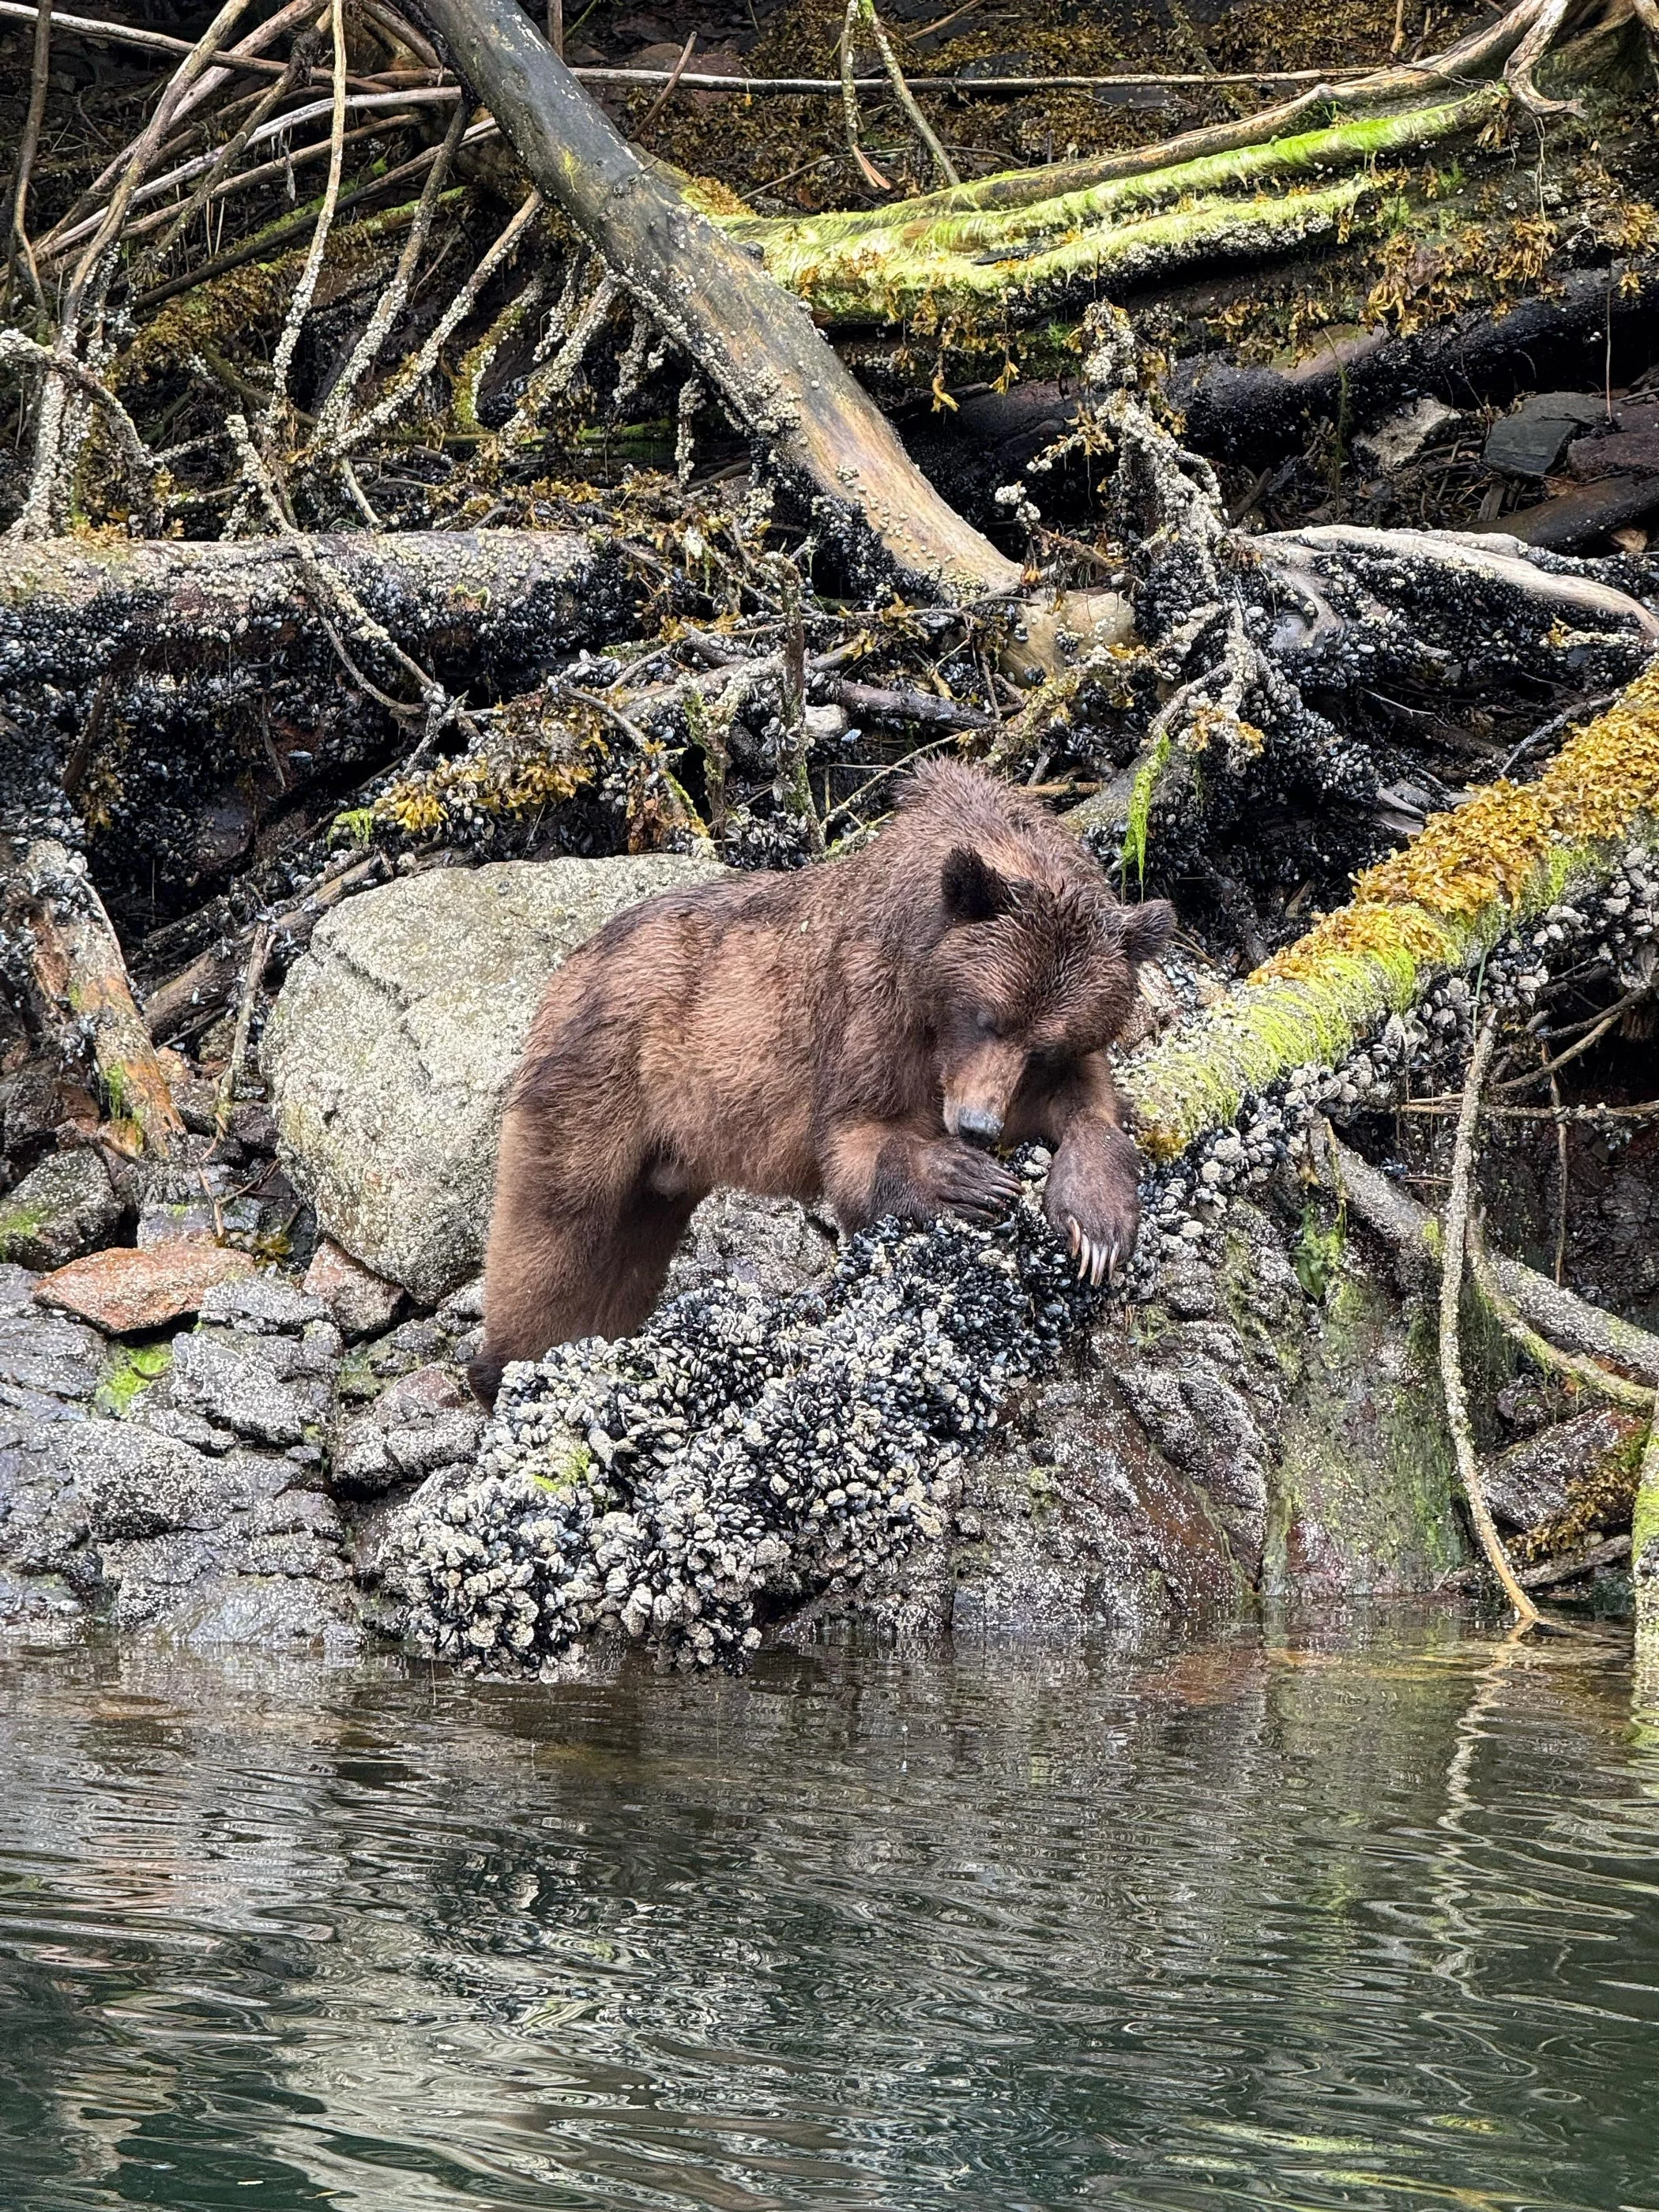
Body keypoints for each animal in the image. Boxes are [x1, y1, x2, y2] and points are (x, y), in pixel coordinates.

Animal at [469, 760, 1173, 1404]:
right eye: (985, 1015)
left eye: (1043, 1045)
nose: (977, 1127)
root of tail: (567, 969)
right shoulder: (871, 1009)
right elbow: (859, 1139)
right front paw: (967, 1181)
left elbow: (1088, 1107)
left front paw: (1096, 1227)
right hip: (601, 1079)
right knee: (556, 1232)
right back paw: (506, 1368)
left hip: (661, 1166)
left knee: (629, 1257)